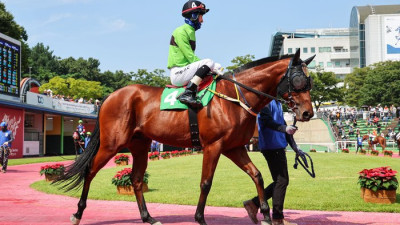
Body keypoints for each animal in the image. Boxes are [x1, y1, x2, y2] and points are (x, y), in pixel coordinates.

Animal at [54, 49, 316, 225]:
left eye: (310, 81)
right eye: (299, 80)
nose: (307, 113)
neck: (233, 97)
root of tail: (111, 96)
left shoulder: (234, 148)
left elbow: (258, 175)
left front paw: (264, 214)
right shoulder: (214, 146)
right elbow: (206, 182)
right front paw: (200, 218)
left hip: (139, 146)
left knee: (136, 179)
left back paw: (148, 217)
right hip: (111, 144)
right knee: (89, 171)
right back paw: (77, 213)